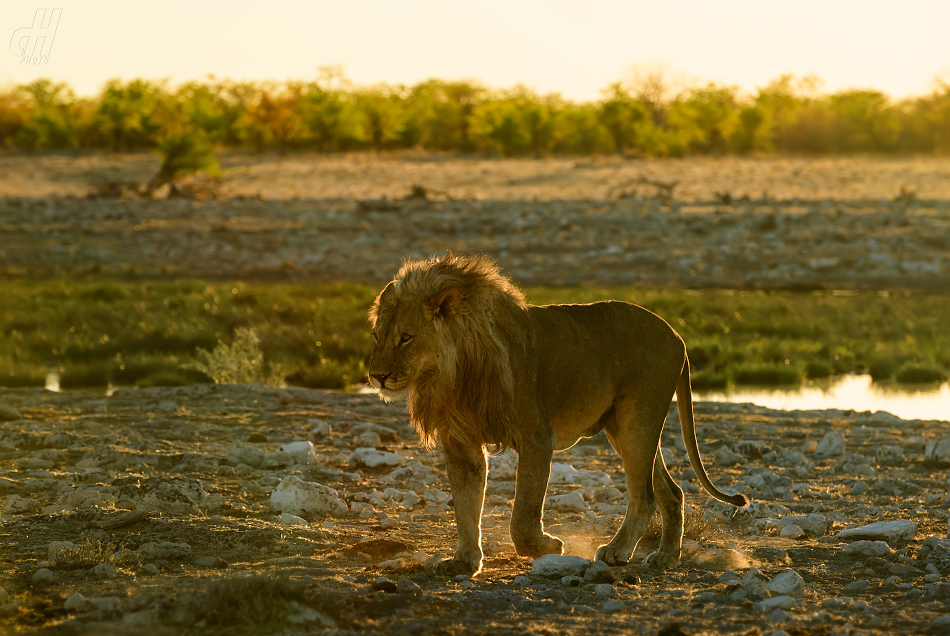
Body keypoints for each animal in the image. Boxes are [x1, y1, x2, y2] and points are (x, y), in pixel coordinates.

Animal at [368, 252, 748, 576]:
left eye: (406, 338)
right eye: (376, 335)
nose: (377, 376)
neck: (451, 372)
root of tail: (678, 335)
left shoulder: (537, 434)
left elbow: (522, 517)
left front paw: (549, 546)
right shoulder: (461, 442)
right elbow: (466, 506)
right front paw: (464, 561)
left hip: (637, 420)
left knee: (645, 498)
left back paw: (617, 551)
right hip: (625, 428)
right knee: (671, 492)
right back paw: (667, 556)